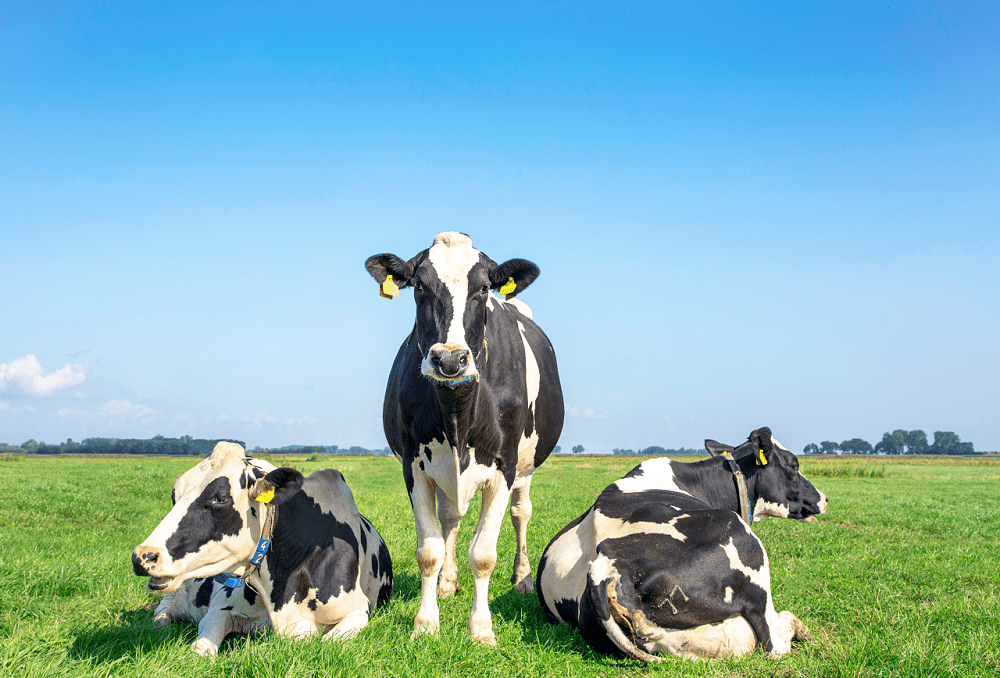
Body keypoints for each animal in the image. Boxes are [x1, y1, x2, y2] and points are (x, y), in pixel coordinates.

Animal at [132, 441, 393, 655]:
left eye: (220, 498)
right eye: (174, 495)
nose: (142, 556)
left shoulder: (358, 610)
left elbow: (330, 642)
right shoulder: (221, 604)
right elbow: (201, 648)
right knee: (164, 607)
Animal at [365, 231, 564, 644]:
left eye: (484, 288)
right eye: (419, 286)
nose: (449, 360)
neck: (457, 408)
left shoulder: (504, 466)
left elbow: (484, 554)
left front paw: (482, 629)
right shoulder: (414, 466)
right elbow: (429, 550)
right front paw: (425, 624)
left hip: (527, 466)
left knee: (521, 513)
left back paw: (522, 578)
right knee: (451, 518)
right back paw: (447, 581)